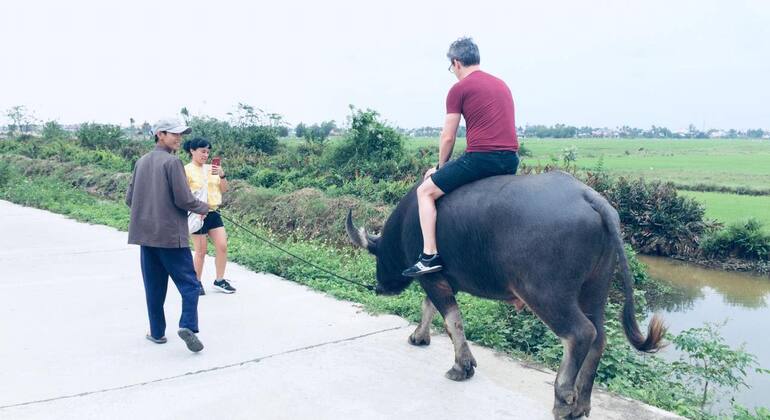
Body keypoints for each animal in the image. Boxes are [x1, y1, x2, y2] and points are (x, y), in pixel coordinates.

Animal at [348, 171, 664, 420]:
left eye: (376, 254)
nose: (379, 287)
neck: (408, 221)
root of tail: (590, 197)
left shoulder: (431, 277)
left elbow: (451, 319)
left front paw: (461, 366)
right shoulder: (443, 280)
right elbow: (431, 308)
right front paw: (419, 337)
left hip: (547, 294)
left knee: (581, 333)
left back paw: (563, 401)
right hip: (595, 291)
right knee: (599, 337)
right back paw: (581, 404)